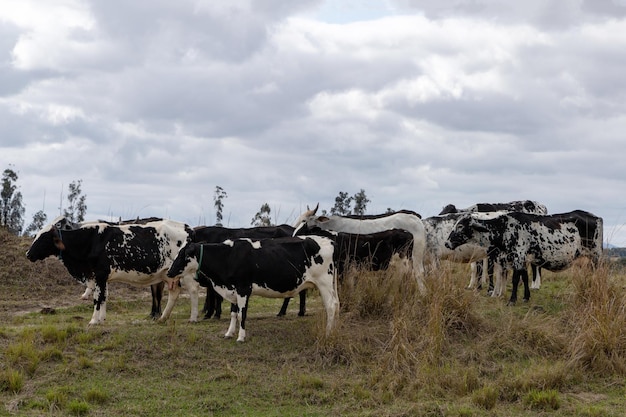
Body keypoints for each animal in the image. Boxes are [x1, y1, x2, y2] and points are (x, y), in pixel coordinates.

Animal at [25, 216, 197, 324]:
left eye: (44, 238)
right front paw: (101, 319)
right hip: (169, 274)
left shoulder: (99, 274)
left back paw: (193, 318)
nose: (28, 254)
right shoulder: (100, 277)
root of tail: (188, 228)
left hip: (186, 272)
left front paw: (93, 320)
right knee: (174, 293)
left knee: (193, 291)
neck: (90, 240)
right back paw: (163, 318)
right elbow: (103, 297)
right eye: (36, 235)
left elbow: (97, 298)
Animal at [166, 236, 338, 340]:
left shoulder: (243, 289)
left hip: (324, 282)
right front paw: (229, 333)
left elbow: (242, 314)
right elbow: (233, 313)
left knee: (330, 306)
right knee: (336, 304)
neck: (228, 256)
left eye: (183, 255)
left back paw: (328, 333)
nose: (169, 272)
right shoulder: (233, 290)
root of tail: (328, 240)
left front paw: (241, 337)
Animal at [442, 210, 604, 304]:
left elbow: (515, 279)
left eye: (460, 226)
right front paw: (526, 297)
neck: (505, 227)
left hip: (596, 256)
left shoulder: (518, 256)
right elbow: (525, 277)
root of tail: (595, 217)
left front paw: (512, 300)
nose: (447, 243)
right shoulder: (524, 259)